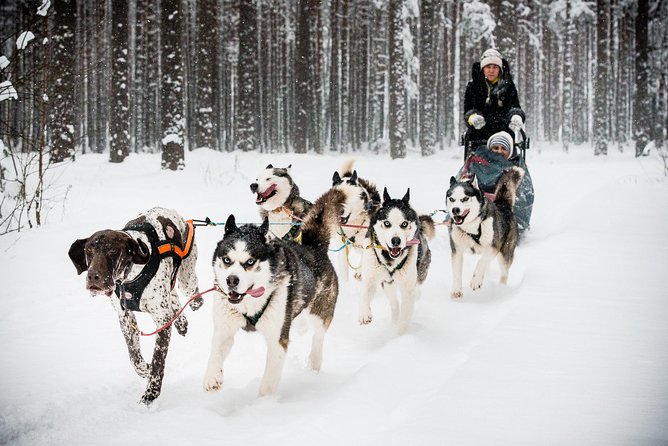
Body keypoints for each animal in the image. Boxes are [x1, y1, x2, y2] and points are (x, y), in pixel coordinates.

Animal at [70, 207, 204, 406]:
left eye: (113, 250)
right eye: (88, 250)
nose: (94, 277)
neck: (131, 277)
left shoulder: (161, 320)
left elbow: (158, 359)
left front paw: (151, 393)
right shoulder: (126, 319)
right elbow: (134, 358)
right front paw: (145, 370)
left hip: (187, 279)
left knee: (193, 295)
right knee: (173, 296)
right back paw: (181, 321)